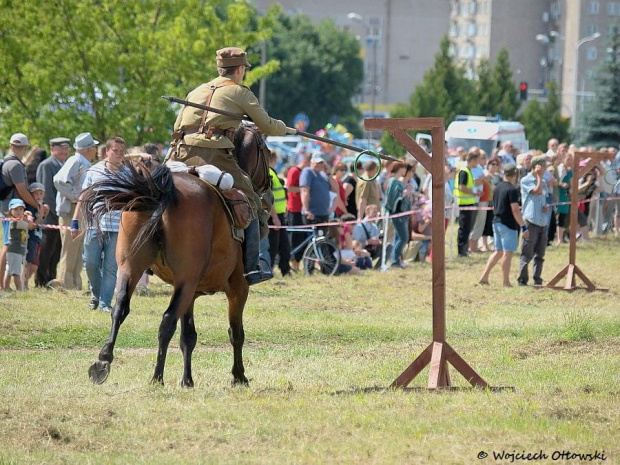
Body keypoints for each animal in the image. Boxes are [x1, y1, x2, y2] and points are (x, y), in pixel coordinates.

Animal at [84, 125, 272, 386]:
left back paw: (103, 361)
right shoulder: (237, 288)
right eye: (266, 151)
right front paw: (238, 376)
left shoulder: (189, 290)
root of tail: (162, 191)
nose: (271, 186)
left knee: (120, 307)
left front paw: (187, 380)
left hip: (132, 268)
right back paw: (156, 377)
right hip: (187, 280)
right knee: (167, 320)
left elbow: (188, 337)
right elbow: (236, 333)